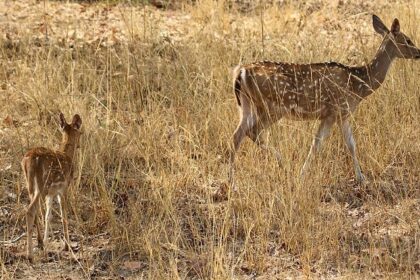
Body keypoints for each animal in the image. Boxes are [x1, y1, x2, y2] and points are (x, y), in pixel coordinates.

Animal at [21, 112, 82, 260]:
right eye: (81, 133)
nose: (79, 145)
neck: (67, 154)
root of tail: (29, 160)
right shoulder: (63, 188)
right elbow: (63, 214)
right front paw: (67, 246)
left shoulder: (51, 193)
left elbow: (48, 215)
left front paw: (46, 242)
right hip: (42, 185)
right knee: (30, 210)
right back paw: (30, 255)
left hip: (30, 184)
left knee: (36, 210)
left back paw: (39, 243)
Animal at [230, 15, 420, 183]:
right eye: (408, 40)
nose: (418, 53)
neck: (358, 84)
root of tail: (241, 72)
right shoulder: (337, 111)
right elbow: (325, 144)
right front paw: (302, 175)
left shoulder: (338, 115)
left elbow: (343, 144)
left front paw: (360, 178)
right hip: (273, 106)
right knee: (253, 132)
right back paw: (283, 163)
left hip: (247, 105)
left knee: (237, 135)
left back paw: (232, 180)